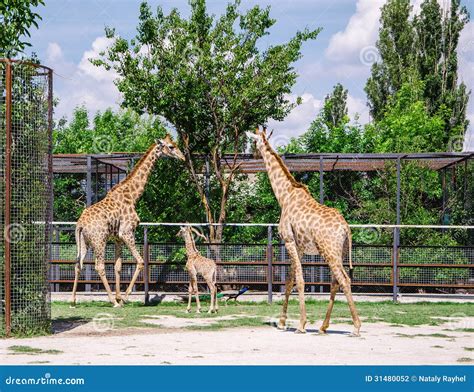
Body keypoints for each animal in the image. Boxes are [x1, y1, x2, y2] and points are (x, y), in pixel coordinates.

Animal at [70, 136, 185, 308]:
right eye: (171, 147)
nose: (183, 157)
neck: (132, 196)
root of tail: (80, 224)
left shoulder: (117, 237)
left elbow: (118, 266)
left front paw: (119, 297)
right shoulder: (127, 232)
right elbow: (140, 261)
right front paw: (123, 298)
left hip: (84, 242)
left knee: (78, 264)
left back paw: (73, 300)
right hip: (99, 240)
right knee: (99, 266)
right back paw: (112, 301)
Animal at [246, 127, 362, 336]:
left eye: (252, 141)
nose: (252, 155)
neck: (284, 195)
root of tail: (346, 228)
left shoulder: (289, 240)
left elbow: (299, 280)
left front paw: (301, 324)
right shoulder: (299, 247)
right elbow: (290, 280)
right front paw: (282, 321)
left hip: (329, 251)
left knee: (344, 280)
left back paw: (356, 327)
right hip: (339, 252)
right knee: (336, 281)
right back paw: (323, 327)